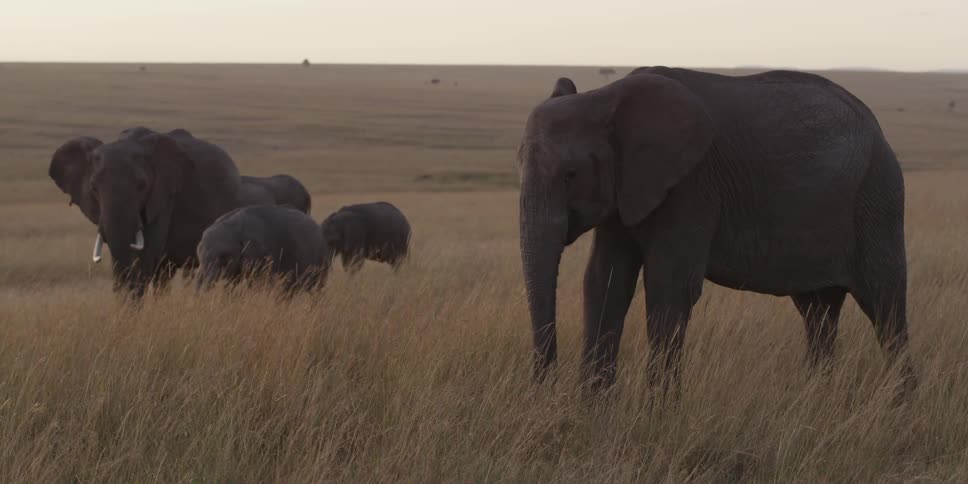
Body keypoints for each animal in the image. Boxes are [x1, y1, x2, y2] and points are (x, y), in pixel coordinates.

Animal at [518, 67, 914, 393]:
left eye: (570, 175)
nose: (546, 385)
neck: (604, 99)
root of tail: (878, 129)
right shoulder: (626, 189)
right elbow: (605, 280)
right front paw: (594, 411)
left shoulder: (692, 185)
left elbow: (669, 287)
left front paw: (657, 415)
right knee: (818, 313)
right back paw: (816, 402)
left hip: (877, 202)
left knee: (886, 308)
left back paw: (900, 409)